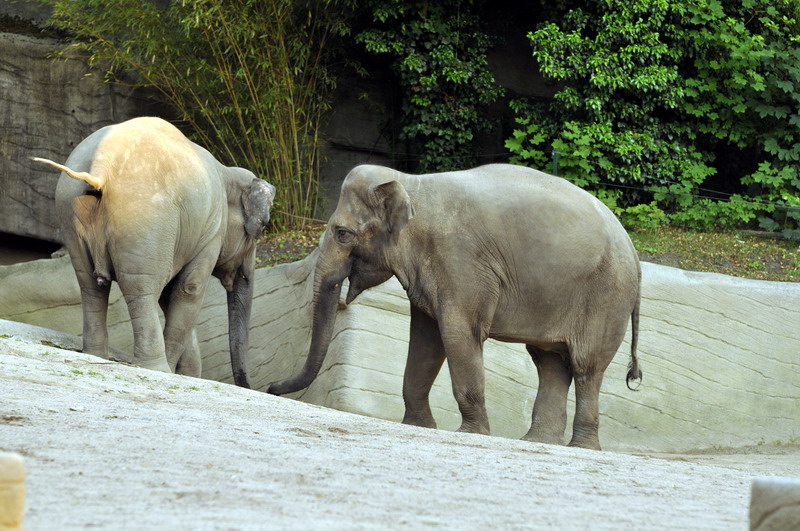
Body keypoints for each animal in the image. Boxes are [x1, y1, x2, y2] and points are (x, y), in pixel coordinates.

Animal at [33, 116, 275, 388]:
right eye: (263, 227)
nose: (269, 388)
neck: (228, 172)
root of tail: (100, 167)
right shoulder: (212, 232)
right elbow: (188, 289)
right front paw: (177, 371)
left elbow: (171, 294)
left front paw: (187, 373)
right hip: (145, 217)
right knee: (142, 289)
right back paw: (159, 369)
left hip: (70, 208)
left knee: (90, 287)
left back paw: (96, 355)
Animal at [268, 164, 641, 450]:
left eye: (342, 233)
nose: (271, 388)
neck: (412, 183)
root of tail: (634, 252)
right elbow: (426, 339)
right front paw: (417, 426)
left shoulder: (461, 263)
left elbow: (458, 333)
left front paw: (471, 433)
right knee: (550, 363)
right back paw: (536, 442)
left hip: (606, 295)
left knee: (585, 366)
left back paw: (581, 447)